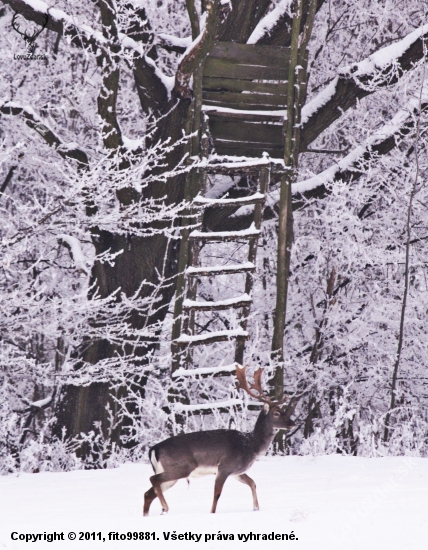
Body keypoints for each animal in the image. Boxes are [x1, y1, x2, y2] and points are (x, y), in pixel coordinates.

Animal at [144, 366, 298, 516]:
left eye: (283, 410)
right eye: (276, 413)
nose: (293, 423)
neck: (250, 445)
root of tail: (154, 449)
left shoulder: (236, 471)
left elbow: (253, 483)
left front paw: (256, 508)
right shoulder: (224, 467)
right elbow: (217, 494)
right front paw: (212, 513)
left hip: (171, 473)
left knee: (148, 493)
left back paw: (156, 512)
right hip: (182, 467)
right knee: (153, 480)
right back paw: (165, 507)